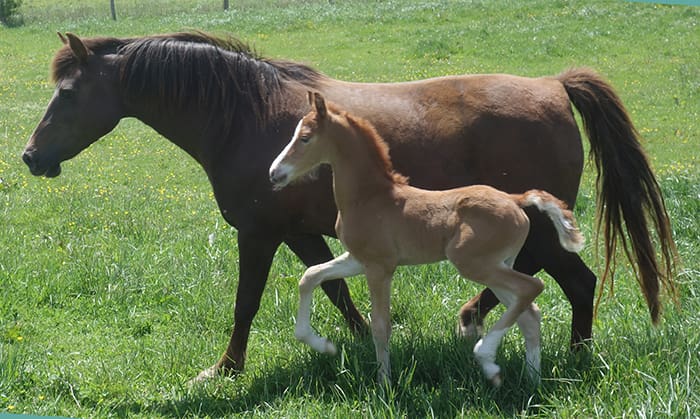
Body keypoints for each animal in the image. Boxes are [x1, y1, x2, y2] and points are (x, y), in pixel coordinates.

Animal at [269, 92, 585, 386]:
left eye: (305, 138)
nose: (274, 173)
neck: (370, 197)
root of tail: (515, 199)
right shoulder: (358, 259)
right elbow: (310, 276)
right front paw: (323, 345)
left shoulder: (379, 267)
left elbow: (381, 326)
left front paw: (385, 385)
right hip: (499, 264)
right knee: (529, 312)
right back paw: (528, 379)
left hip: (473, 263)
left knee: (533, 287)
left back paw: (486, 356)